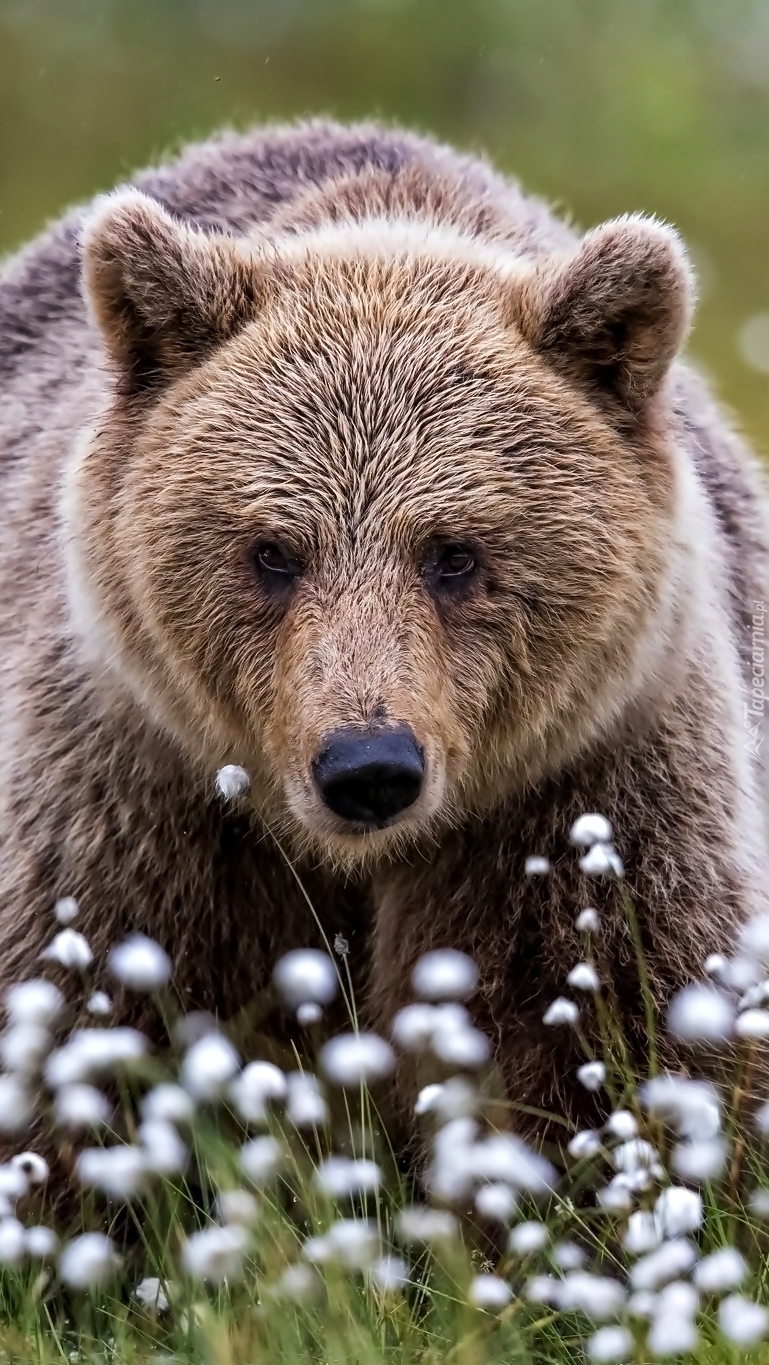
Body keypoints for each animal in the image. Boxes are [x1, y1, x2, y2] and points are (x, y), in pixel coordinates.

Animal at [0, 122, 764, 1135]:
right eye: (272, 551)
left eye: (454, 553)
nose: (368, 767)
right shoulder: (137, 793)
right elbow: (81, 1013)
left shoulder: (583, 793)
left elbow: (617, 1023)